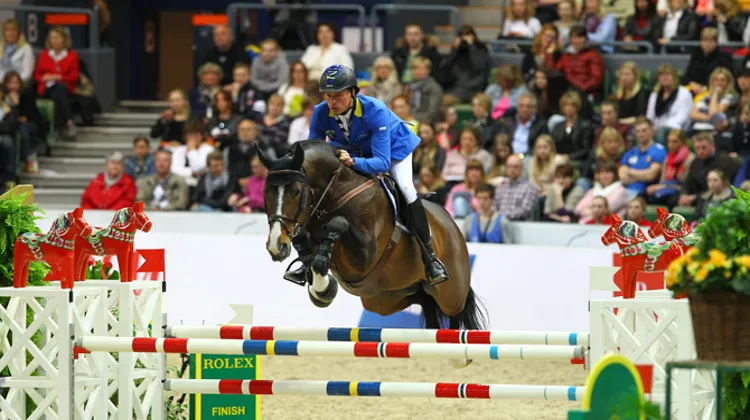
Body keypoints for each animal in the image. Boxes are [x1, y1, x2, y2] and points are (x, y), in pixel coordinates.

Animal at [258, 140, 486, 330]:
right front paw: (320, 288)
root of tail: (452, 225)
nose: (276, 246)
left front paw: (323, 286)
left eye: (296, 191)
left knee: (454, 311)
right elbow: (308, 248)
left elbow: (337, 225)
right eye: (266, 191)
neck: (336, 192)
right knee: (423, 299)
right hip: (382, 298)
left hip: (451, 294)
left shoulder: (364, 257)